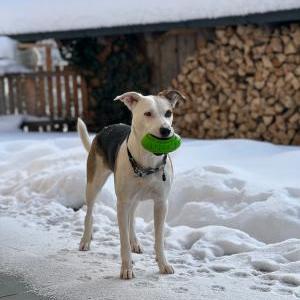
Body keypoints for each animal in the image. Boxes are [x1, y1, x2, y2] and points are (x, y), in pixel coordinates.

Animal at [77, 89, 185, 278]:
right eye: (148, 113)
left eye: (168, 113)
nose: (166, 130)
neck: (148, 162)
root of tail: (104, 130)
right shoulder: (122, 203)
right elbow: (123, 239)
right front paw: (127, 267)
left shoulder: (161, 203)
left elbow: (159, 238)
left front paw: (163, 264)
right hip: (94, 184)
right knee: (89, 212)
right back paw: (85, 240)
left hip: (134, 197)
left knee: (132, 218)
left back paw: (135, 242)